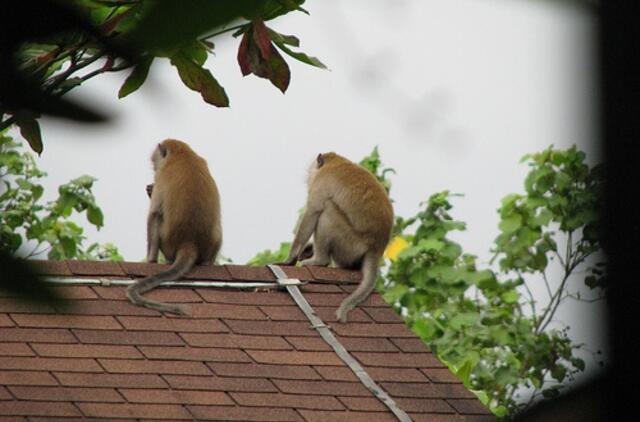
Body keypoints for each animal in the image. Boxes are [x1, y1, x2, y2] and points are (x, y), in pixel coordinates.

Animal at [126, 140, 224, 314]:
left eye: (155, 163)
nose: (154, 167)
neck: (183, 154)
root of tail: (189, 242)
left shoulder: (161, 175)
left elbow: (154, 214)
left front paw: (150, 261)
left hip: (167, 244)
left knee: (158, 218)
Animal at [284, 153, 396, 322]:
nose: (308, 177)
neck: (336, 161)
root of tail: (376, 249)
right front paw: (307, 249)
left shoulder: (320, 182)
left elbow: (312, 212)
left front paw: (290, 259)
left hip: (350, 246)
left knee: (328, 211)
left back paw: (319, 261)